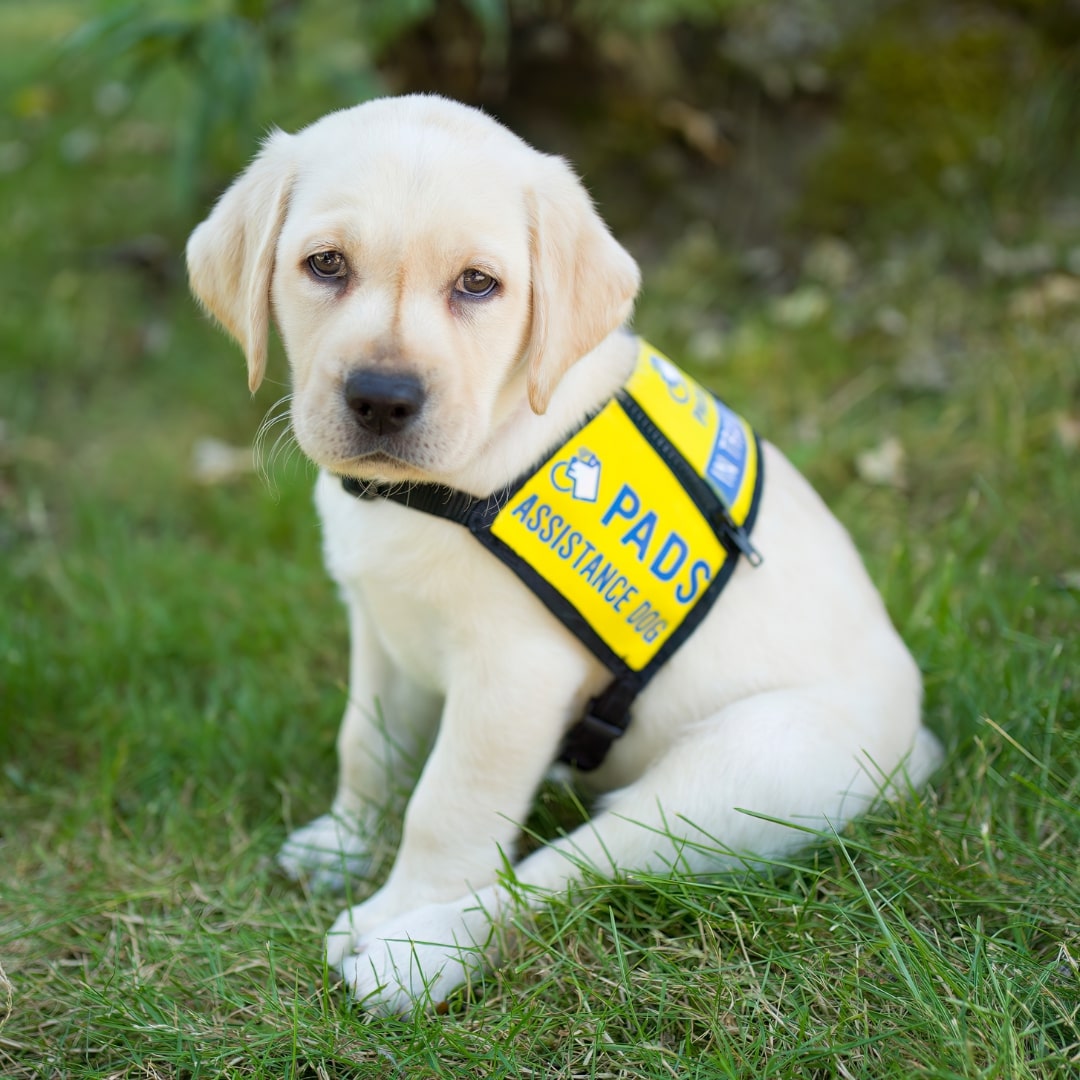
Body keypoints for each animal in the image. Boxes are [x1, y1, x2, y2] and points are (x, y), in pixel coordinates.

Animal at [186, 93, 941, 1015]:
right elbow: (365, 744)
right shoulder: (382, 627)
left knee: (568, 872)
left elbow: (447, 804)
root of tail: (913, 748)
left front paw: (398, 912)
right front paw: (344, 844)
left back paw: (423, 954)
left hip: (740, 772)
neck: (448, 484)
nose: (382, 399)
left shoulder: (516, 676)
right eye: (325, 265)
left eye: (479, 283)